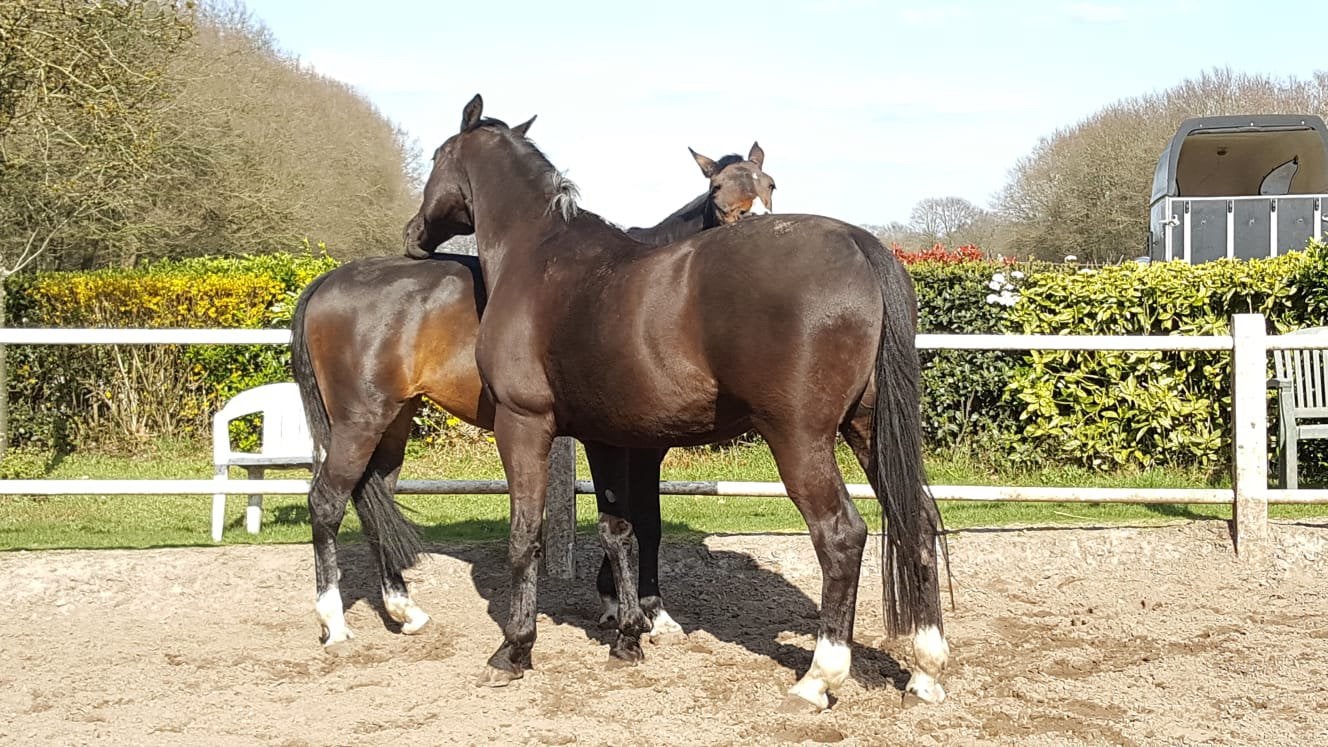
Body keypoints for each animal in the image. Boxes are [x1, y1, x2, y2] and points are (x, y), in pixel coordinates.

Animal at [290, 132, 775, 646]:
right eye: (716, 188)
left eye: (768, 183)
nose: (755, 230)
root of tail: (329, 279)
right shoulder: (639, 446)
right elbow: (647, 522)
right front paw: (648, 611)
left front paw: (618, 603)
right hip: (358, 420)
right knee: (326, 502)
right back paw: (333, 621)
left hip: (394, 421)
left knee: (372, 499)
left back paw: (405, 609)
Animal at [403, 95, 947, 712]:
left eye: (437, 157)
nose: (414, 234)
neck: (539, 256)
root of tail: (860, 242)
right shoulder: (606, 436)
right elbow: (620, 528)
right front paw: (627, 636)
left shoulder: (524, 425)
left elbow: (526, 536)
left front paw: (514, 651)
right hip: (868, 428)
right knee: (918, 519)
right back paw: (925, 671)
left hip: (799, 439)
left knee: (840, 536)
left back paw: (818, 678)